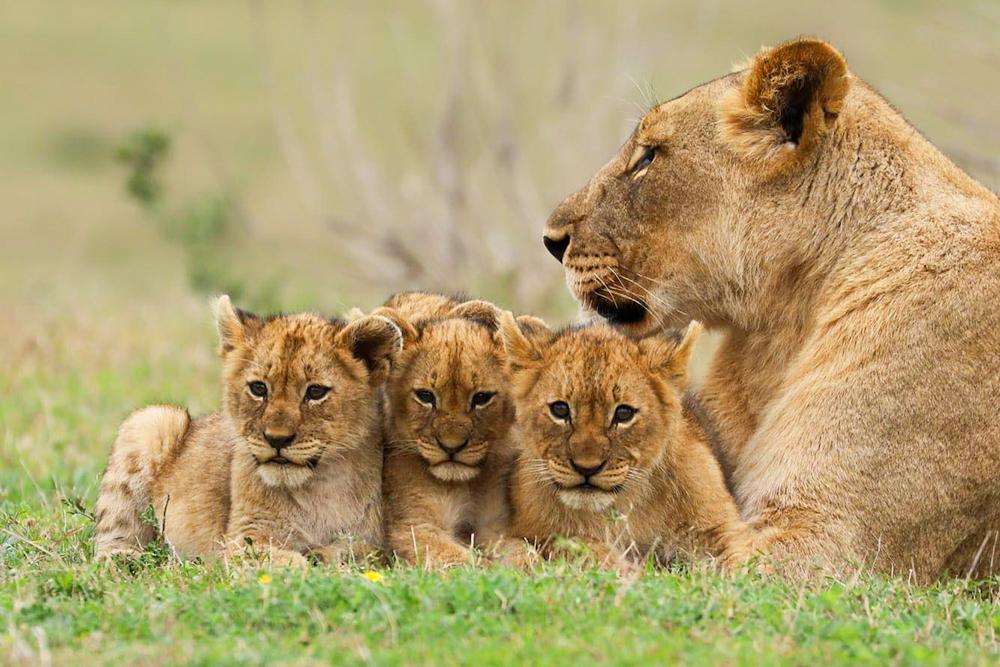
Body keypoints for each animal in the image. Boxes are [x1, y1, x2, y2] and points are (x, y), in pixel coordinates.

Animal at [93, 296, 402, 566]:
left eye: (315, 392)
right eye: (258, 388)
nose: (277, 439)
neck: (320, 485)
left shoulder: (377, 541)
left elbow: (361, 551)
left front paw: (325, 556)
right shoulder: (242, 538)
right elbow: (285, 564)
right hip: (152, 420)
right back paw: (125, 560)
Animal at [377, 294, 546, 567]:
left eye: (481, 398)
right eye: (425, 396)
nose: (451, 447)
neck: (463, 483)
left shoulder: (495, 524)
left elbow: (523, 554)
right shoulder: (413, 526)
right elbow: (461, 561)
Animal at [499, 314, 762, 569]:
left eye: (624, 413)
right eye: (560, 409)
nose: (587, 468)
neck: (620, 506)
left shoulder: (721, 528)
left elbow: (745, 565)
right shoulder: (534, 533)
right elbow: (581, 549)